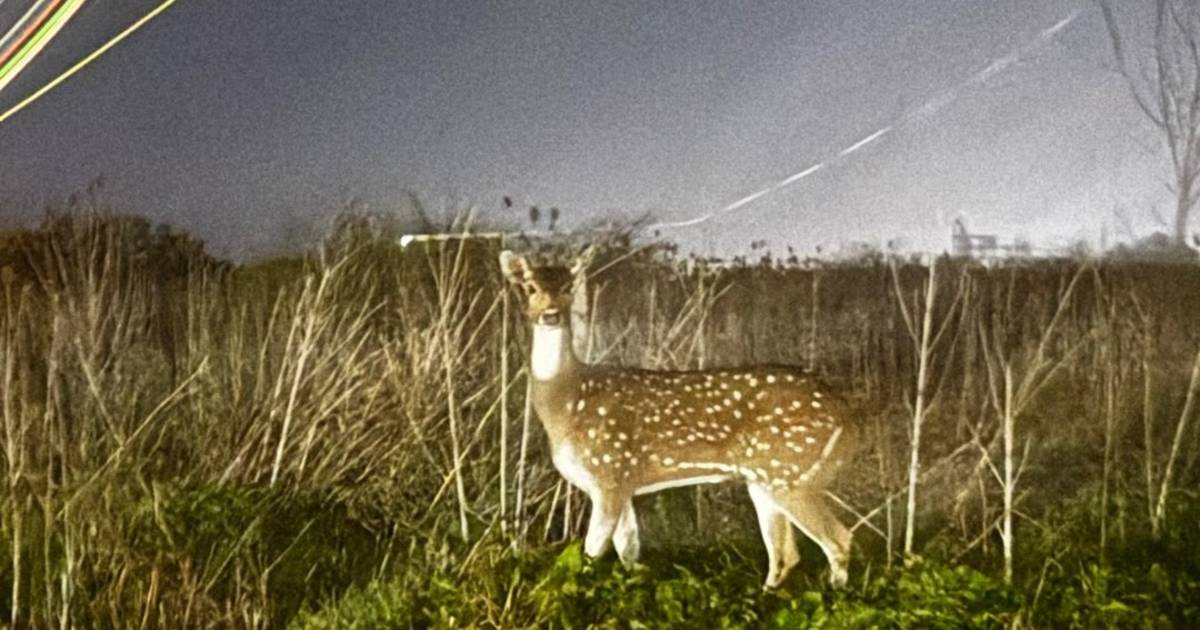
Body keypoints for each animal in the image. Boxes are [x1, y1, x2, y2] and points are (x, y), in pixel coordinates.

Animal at [499, 250, 860, 588]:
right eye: (529, 287)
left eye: (568, 287)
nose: (551, 315)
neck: (568, 403)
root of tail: (848, 417)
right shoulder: (623, 481)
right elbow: (628, 550)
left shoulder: (609, 471)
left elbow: (592, 552)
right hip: (766, 477)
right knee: (786, 553)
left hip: (791, 471)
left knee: (838, 539)